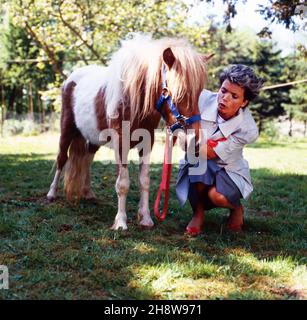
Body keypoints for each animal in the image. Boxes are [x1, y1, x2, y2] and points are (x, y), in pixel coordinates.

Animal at [47, 33, 212, 230]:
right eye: (179, 92)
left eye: (198, 93)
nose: (195, 140)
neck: (133, 101)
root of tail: (71, 79)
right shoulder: (121, 143)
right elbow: (123, 183)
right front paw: (120, 222)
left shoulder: (147, 143)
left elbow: (145, 180)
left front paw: (146, 218)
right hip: (67, 130)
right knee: (61, 158)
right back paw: (51, 193)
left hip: (94, 137)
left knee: (87, 158)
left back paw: (88, 193)